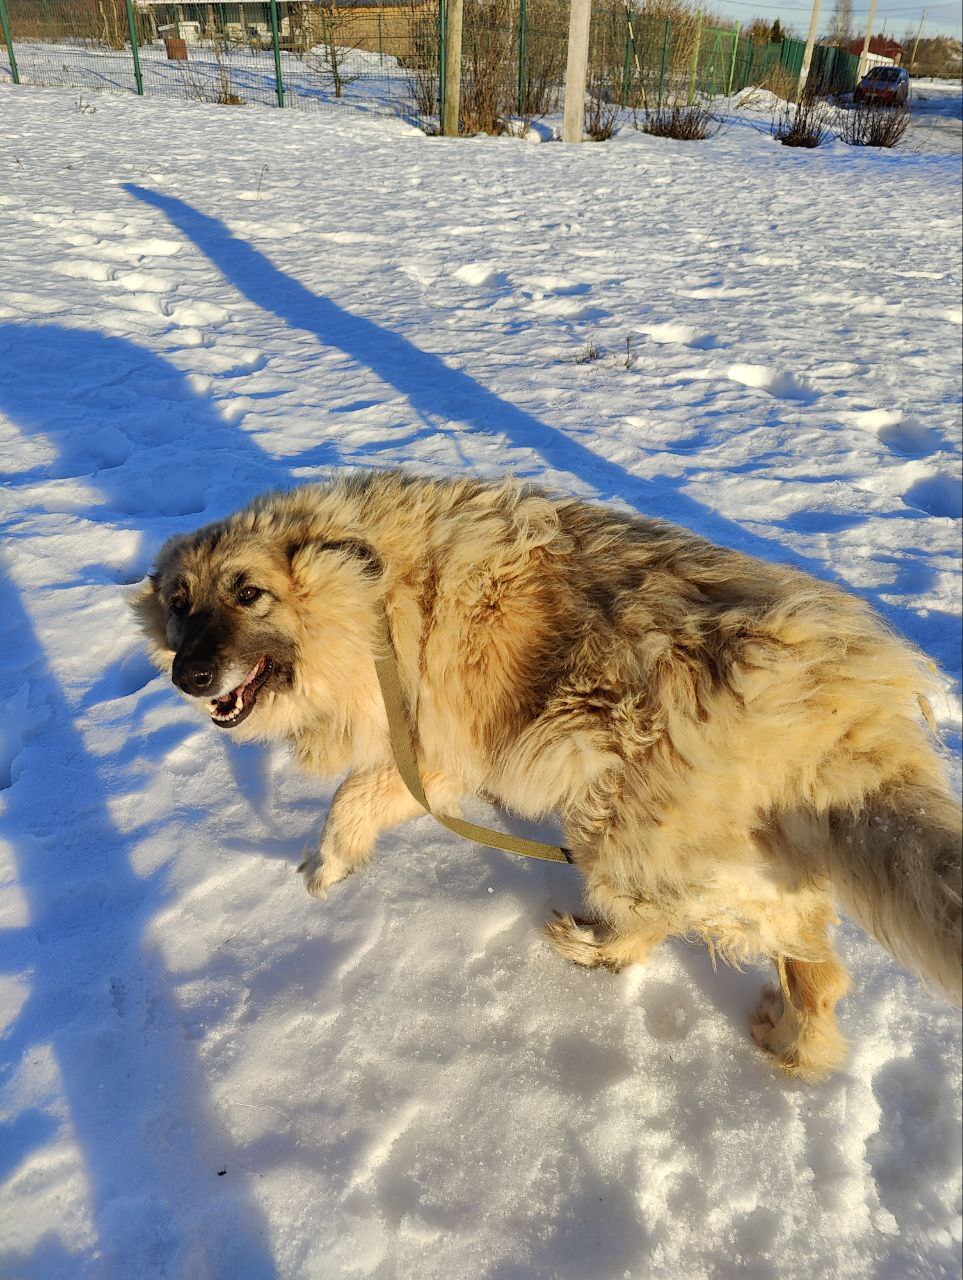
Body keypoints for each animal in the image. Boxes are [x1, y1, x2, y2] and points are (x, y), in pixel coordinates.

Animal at [133, 471, 962, 1080]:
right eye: (180, 604)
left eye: (249, 594)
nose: (189, 676)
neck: (369, 592)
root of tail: (847, 698)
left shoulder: (432, 751)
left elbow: (350, 801)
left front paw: (327, 865)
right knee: (797, 939)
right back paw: (795, 1032)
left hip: (619, 827)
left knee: (754, 926)